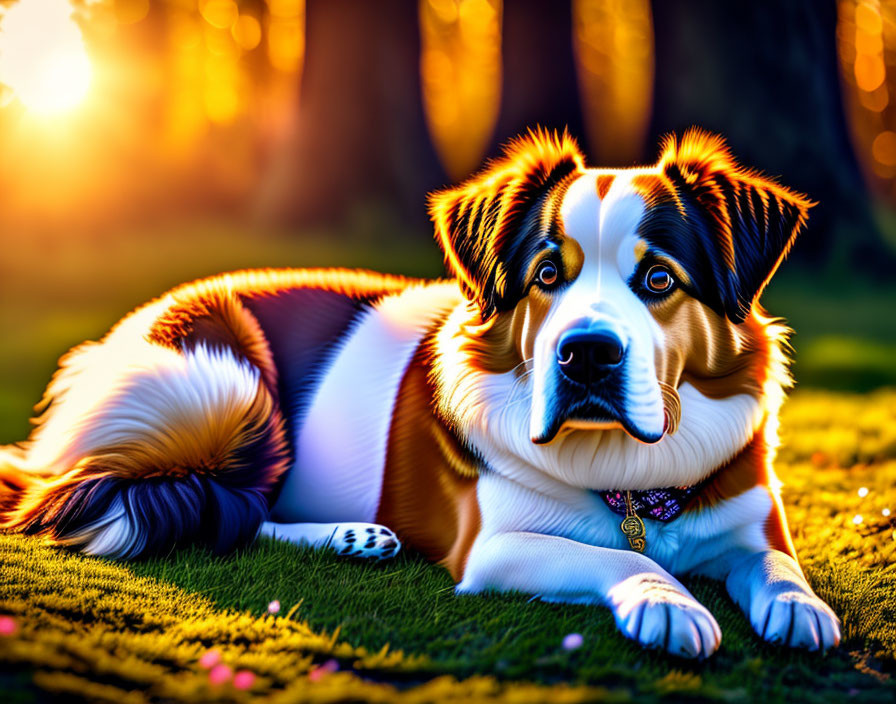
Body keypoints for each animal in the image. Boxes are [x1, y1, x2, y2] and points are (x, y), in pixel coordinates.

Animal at [0, 128, 840, 660]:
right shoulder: (495, 549)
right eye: (546, 275)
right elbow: (616, 559)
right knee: (225, 510)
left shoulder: (753, 521)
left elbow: (775, 565)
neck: (635, 482)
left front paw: (799, 606)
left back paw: (356, 537)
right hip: (228, 391)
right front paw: (666, 601)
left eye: (659, 279)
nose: (587, 356)